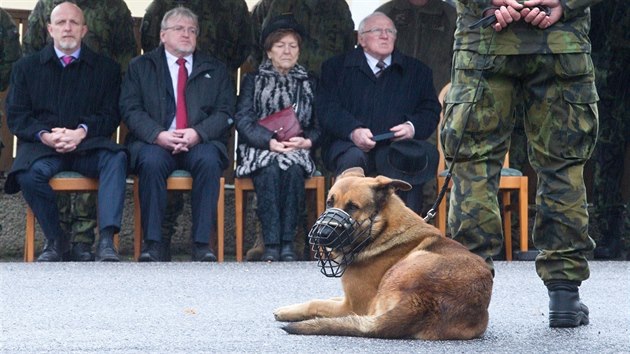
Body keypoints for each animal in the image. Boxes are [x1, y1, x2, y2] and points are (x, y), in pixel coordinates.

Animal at [274, 169, 496, 340]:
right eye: (330, 202)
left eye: (352, 207)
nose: (321, 233)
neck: (381, 229)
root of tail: (421, 302)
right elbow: (327, 298)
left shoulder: (353, 306)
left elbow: (317, 303)